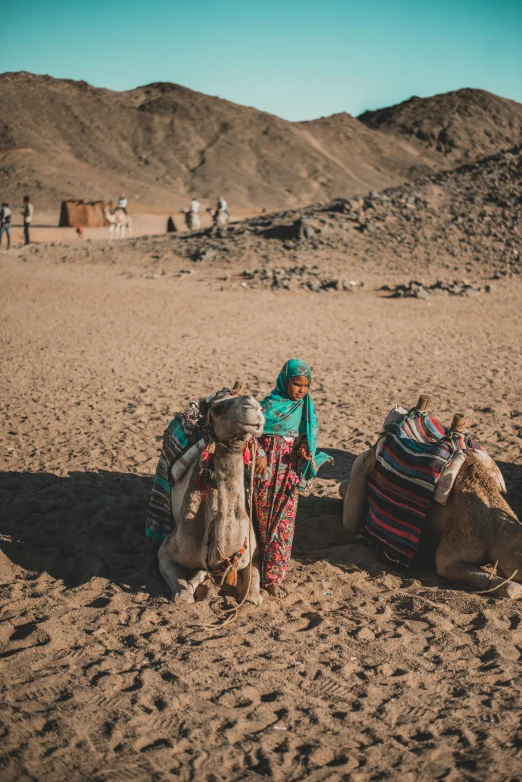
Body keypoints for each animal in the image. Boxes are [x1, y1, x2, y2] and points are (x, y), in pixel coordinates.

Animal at [157, 396, 264, 608]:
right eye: (217, 409)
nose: (252, 405)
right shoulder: (166, 551)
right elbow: (183, 595)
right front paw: (188, 588)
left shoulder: (253, 554)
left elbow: (253, 593)